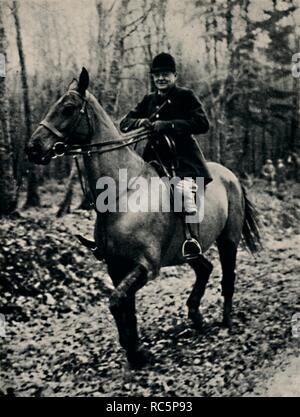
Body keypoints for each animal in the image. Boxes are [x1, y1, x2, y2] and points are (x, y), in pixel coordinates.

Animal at [25, 67, 260, 368]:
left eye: (67, 108)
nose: (33, 147)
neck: (122, 193)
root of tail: (230, 175)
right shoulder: (117, 267)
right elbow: (125, 306)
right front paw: (135, 351)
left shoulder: (144, 265)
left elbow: (116, 302)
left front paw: (136, 350)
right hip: (188, 251)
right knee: (205, 268)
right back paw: (195, 317)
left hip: (228, 239)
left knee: (228, 275)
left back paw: (226, 321)